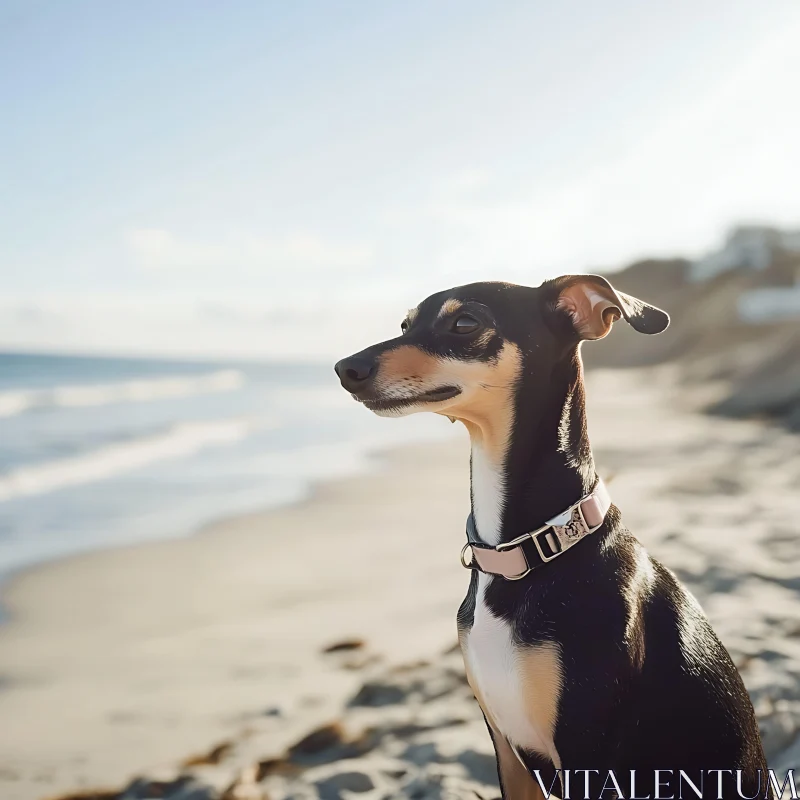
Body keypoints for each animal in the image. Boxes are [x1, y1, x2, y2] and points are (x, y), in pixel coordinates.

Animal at [332, 276, 768, 800]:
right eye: (404, 324)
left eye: (465, 323)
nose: (345, 368)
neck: (525, 550)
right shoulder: (507, 749)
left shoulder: (586, 754)